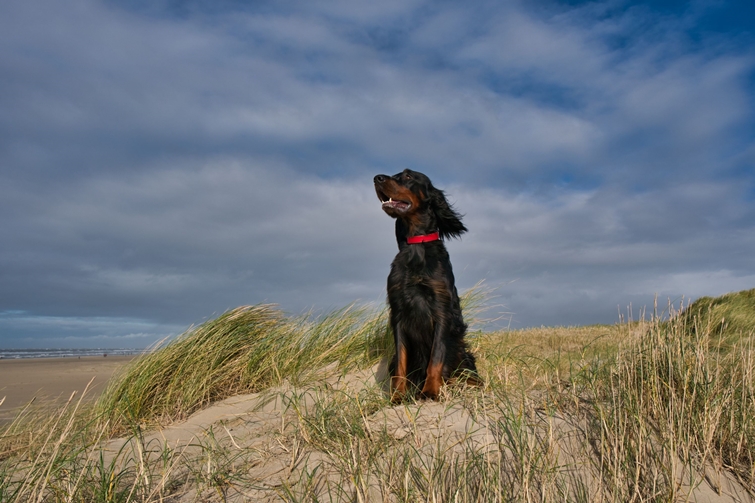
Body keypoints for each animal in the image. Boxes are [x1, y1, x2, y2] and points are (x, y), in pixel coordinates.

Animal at [374, 169, 476, 402]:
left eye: (408, 176)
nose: (377, 178)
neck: (416, 247)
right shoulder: (398, 313)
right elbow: (401, 362)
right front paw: (398, 396)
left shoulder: (441, 311)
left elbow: (436, 357)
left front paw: (430, 391)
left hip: (460, 348)